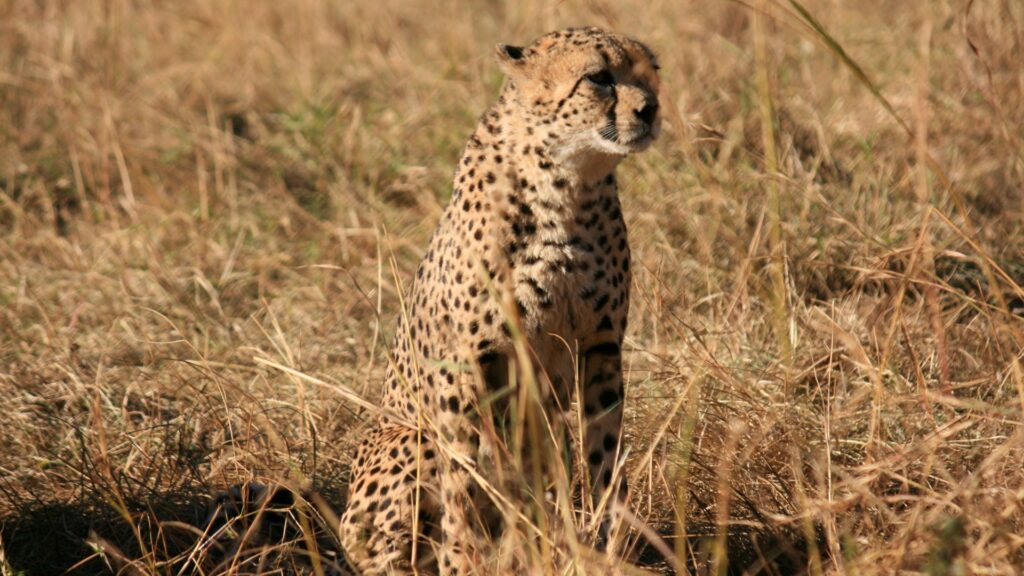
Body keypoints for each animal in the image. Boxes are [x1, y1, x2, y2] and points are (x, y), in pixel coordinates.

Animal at [339, 26, 661, 575]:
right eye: (599, 77)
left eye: (651, 73)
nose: (651, 109)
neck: (566, 185)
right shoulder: (466, 361)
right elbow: (465, 480)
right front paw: (465, 561)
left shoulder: (600, 348)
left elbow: (605, 454)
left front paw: (607, 546)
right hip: (408, 440)